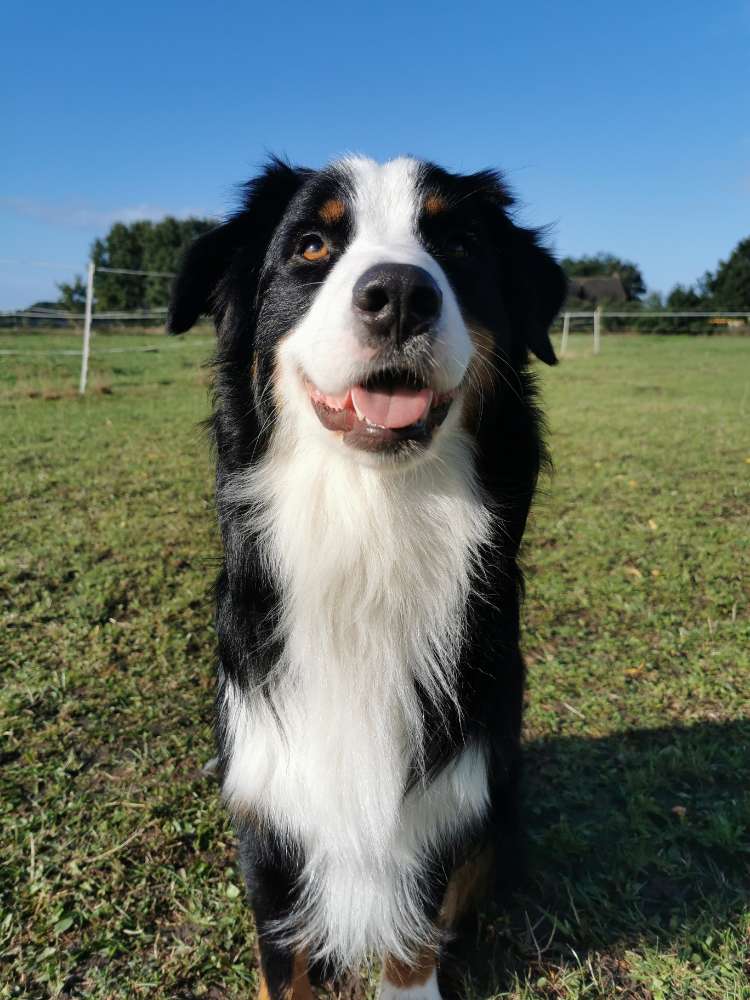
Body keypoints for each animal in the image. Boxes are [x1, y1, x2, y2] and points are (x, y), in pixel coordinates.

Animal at [167, 156, 568, 1000]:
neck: (372, 525)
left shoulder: (444, 800)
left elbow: (412, 941)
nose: (401, 295)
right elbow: (281, 959)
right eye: (312, 245)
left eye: (459, 243)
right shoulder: (271, 811)